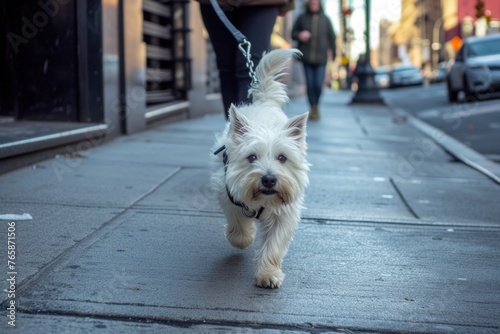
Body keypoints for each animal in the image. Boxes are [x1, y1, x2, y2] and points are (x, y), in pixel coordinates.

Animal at [211, 48, 308, 288]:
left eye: (282, 158)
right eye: (251, 157)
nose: (269, 179)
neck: (264, 200)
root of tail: (264, 102)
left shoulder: (284, 214)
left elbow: (274, 244)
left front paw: (268, 274)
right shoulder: (227, 194)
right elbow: (238, 222)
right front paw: (242, 238)